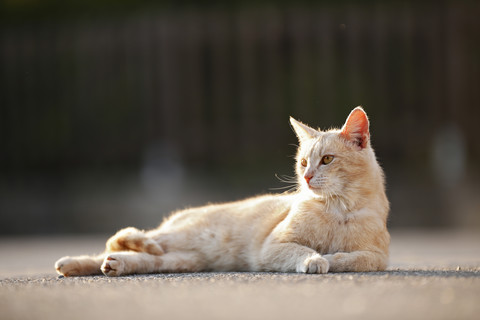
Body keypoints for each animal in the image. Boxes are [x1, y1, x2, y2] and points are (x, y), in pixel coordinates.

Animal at [55, 107, 390, 278]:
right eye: (304, 162)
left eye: (327, 160)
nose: (306, 177)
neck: (339, 209)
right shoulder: (272, 246)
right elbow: (303, 250)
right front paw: (315, 259)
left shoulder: (378, 256)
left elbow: (355, 259)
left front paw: (332, 258)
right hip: (178, 236)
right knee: (121, 240)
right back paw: (77, 262)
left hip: (182, 259)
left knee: (135, 257)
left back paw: (109, 265)